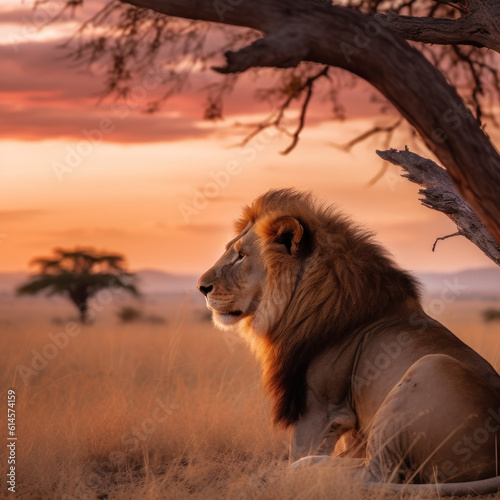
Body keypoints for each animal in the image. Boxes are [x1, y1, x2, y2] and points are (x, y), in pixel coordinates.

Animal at [196, 188, 500, 496]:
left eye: (241, 256)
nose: (201, 287)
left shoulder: (319, 408)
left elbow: (301, 448)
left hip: (430, 367)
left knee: (377, 474)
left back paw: (298, 471)